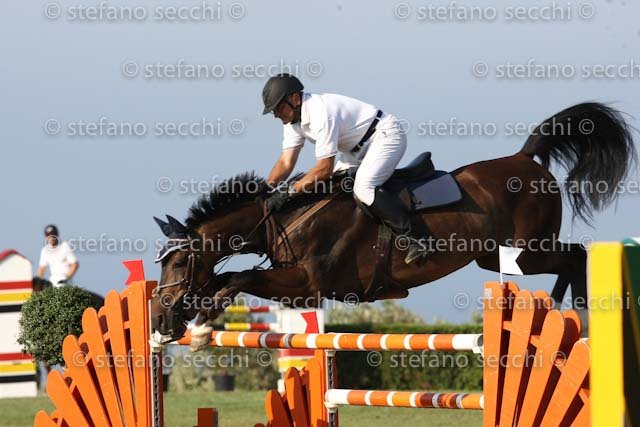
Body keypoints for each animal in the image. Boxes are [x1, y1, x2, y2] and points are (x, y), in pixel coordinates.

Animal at [150, 102, 636, 349]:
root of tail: (525, 158)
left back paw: (568, 315)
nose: (159, 316)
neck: (282, 220)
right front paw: (193, 320)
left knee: (574, 255)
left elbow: (238, 275)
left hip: (525, 250)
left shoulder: (308, 284)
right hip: (492, 257)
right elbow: (229, 276)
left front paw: (201, 326)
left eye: (179, 264)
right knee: (567, 259)